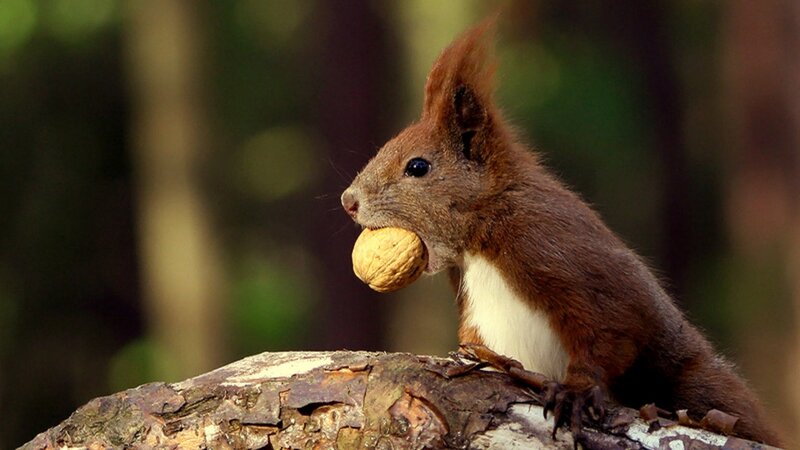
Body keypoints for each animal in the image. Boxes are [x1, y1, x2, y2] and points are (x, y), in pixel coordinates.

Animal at [340, 19, 781, 446]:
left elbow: (610, 327)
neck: (480, 237)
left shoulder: (552, 248)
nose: (349, 201)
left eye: (417, 167)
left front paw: (577, 391)